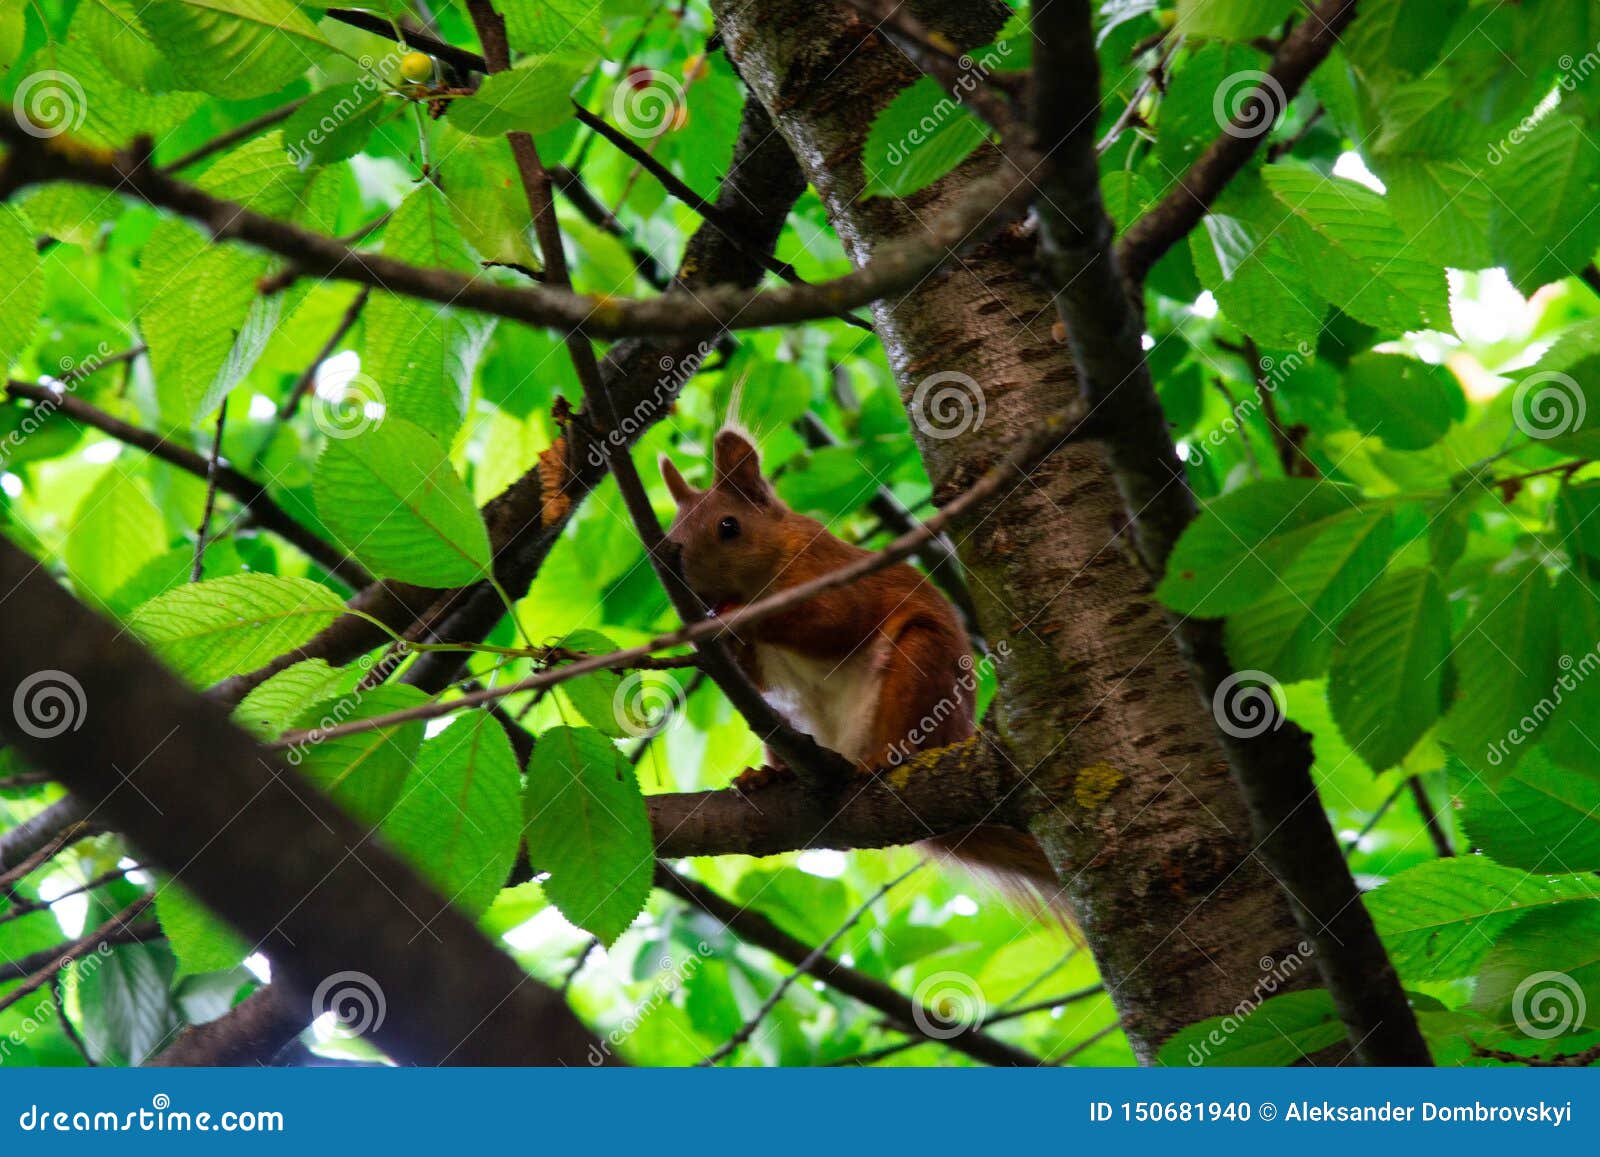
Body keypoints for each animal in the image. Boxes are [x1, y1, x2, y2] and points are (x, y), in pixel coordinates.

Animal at [660, 427, 1067, 920]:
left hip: (921, 669)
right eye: (670, 537)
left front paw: (735, 616)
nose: (691, 589)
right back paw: (771, 776)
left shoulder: (832, 574)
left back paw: (881, 760)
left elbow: (834, 619)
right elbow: (755, 676)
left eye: (728, 526)